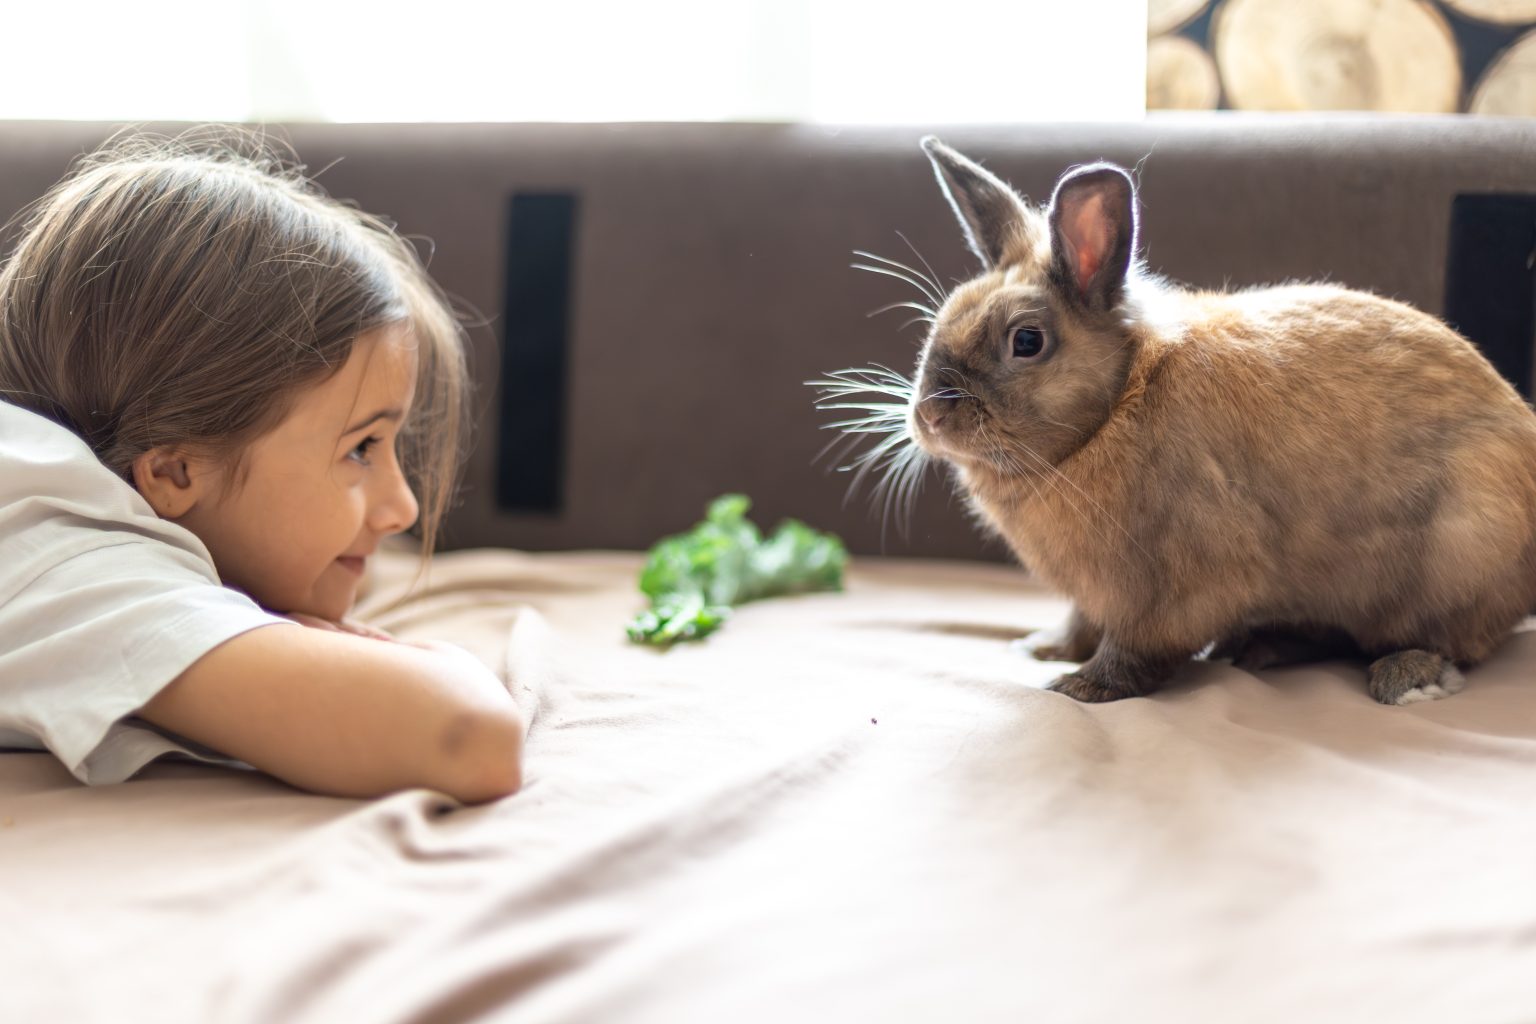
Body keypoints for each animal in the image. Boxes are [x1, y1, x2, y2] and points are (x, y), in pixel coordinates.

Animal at [865, 137, 1536, 704]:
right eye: (943, 318)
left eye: (1026, 340)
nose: (929, 415)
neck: (1115, 406)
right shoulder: (1098, 593)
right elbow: (1083, 620)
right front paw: (1046, 648)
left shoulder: (1175, 588)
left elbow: (1136, 650)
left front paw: (1079, 687)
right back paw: (1260, 648)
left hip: (1457, 556)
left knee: (1453, 640)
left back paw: (1405, 678)